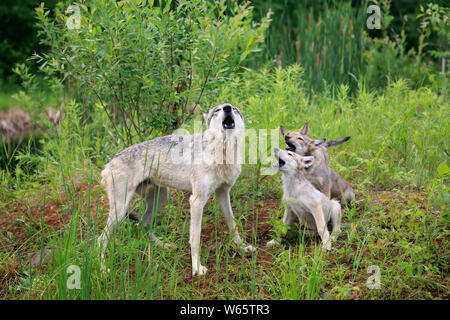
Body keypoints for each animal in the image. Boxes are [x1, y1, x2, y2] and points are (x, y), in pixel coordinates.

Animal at [98, 102, 253, 276]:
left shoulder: (223, 193)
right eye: (217, 110)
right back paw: (103, 270)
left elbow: (233, 225)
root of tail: (109, 162)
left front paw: (242, 247)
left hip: (160, 198)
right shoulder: (196, 201)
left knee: (142, 224)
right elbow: (195, 239)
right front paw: (197, 268)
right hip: (121, 209)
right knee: (101, 239)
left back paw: (164, 246)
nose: (227, 107)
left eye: (234, 109)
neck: (222, 152)